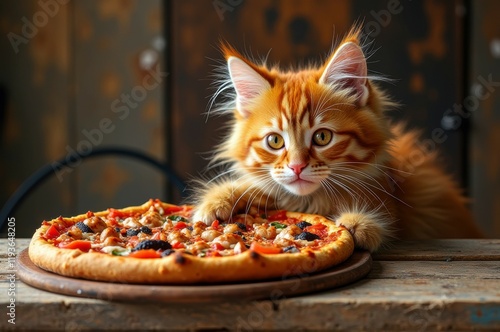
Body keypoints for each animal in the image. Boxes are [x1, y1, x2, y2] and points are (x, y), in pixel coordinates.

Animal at [190, 29, 480, 252]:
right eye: (274, 141)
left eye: (322, 137)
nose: (296, 166)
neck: (311, 202)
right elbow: (251, 187)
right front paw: (214, 203)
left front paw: (359, 224)